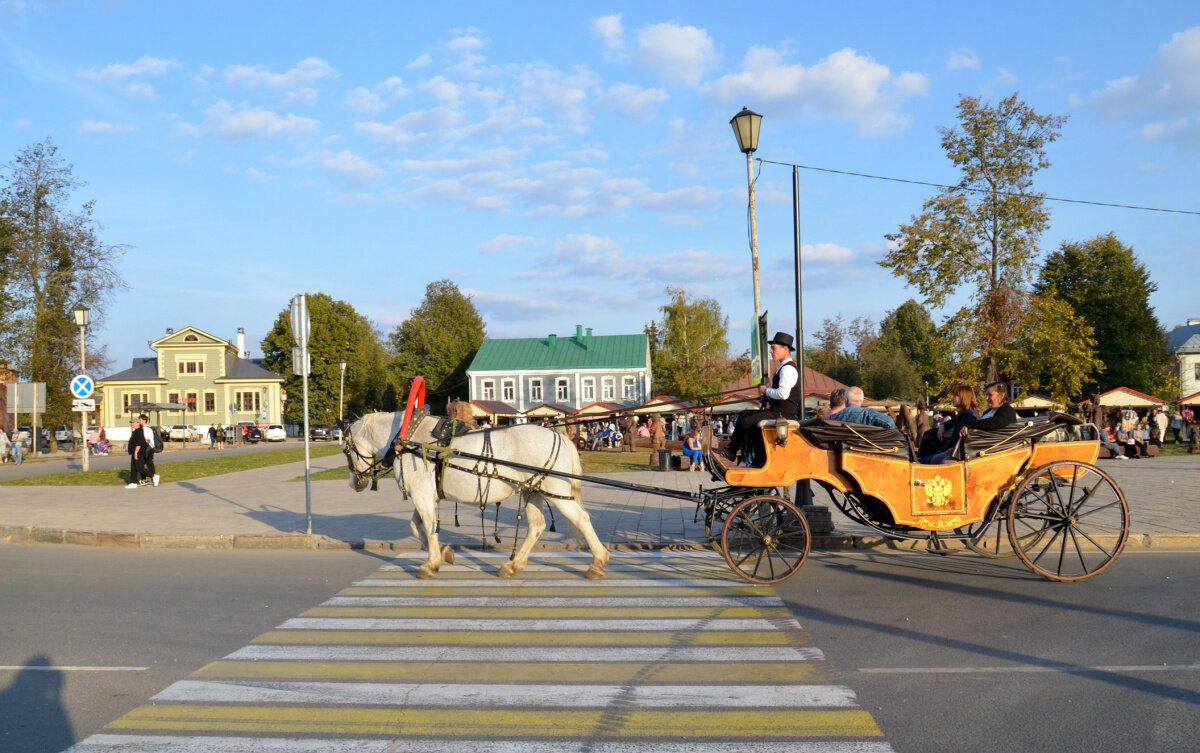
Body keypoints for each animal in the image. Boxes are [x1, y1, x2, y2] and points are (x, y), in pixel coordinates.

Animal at [345, 414, 609, 580]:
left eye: (346, 450)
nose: (356, 483)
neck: (410, 441)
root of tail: (559, 436)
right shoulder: (427, 496)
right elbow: (416, 527)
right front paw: (444, 552)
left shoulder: (421, 496)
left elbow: (428, 528)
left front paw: (431, 564)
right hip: (533, 490)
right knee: (536, 526)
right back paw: (513, 565)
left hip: (556, 493)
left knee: (582, 519)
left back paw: (598, 562)